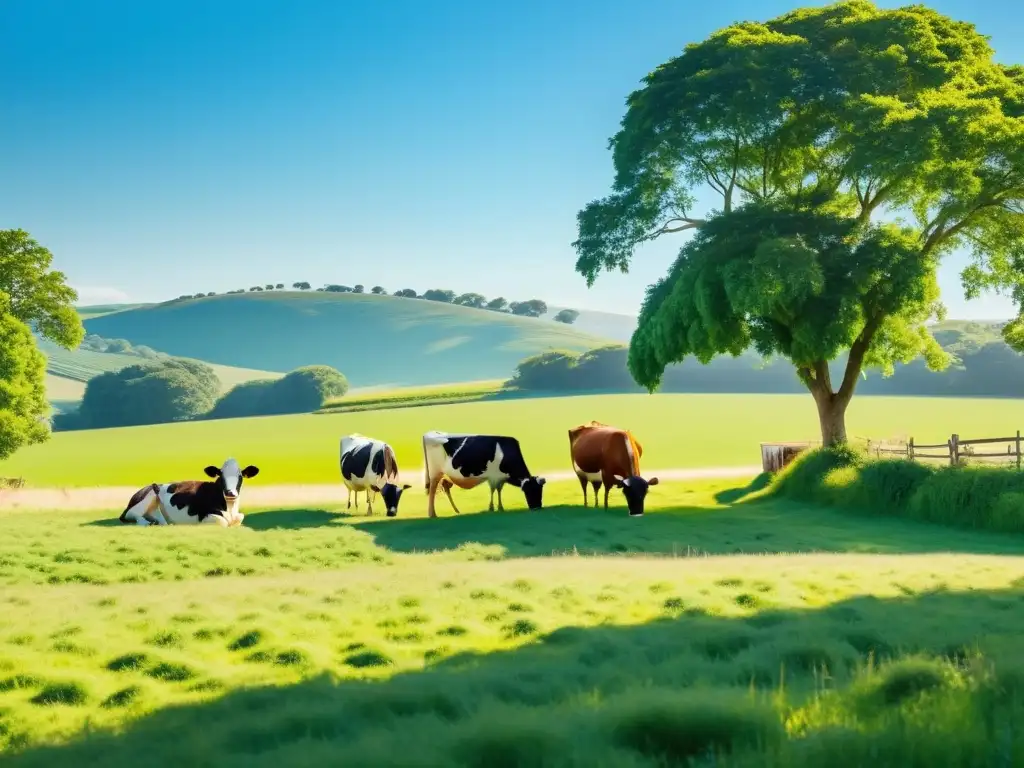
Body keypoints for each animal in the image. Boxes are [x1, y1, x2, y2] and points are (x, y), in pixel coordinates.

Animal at [117, 456, 260, 528]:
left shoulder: (238, 516)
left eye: (240, 476)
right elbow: (223, 522)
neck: (230, 508)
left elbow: (240, 518)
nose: (230, 493)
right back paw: (145, 523)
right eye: (221, 476)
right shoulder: (205, 516)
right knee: (132, 514)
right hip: (150, 495)